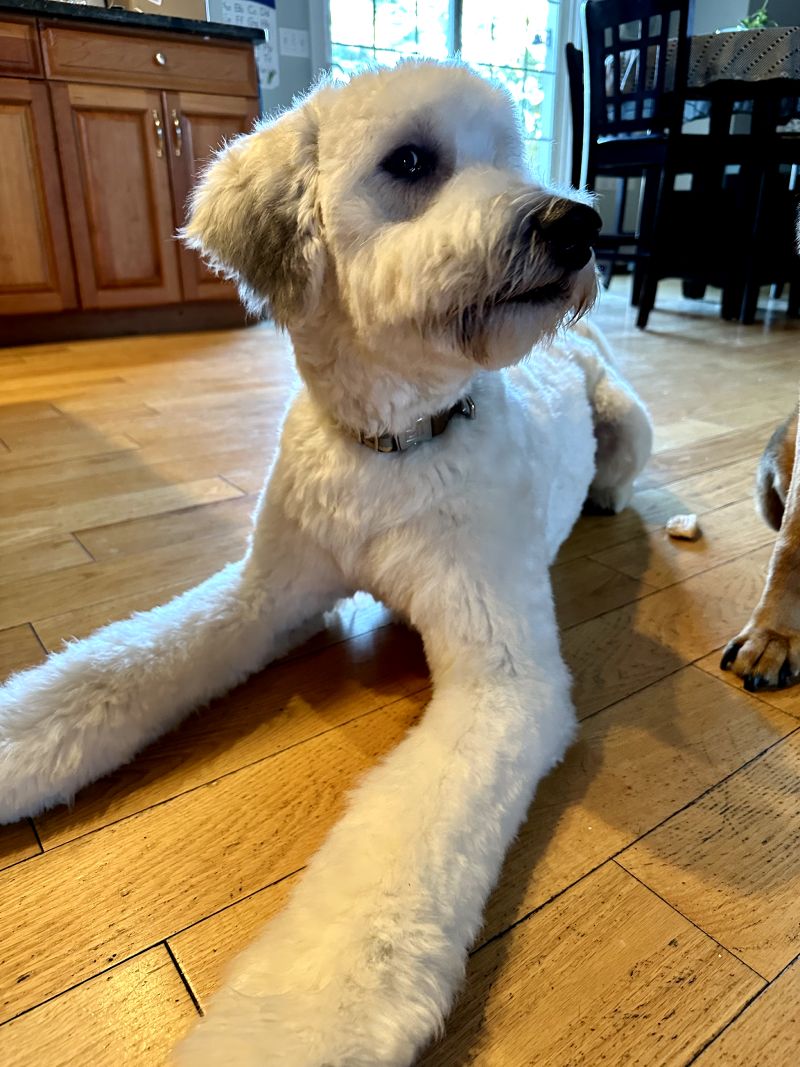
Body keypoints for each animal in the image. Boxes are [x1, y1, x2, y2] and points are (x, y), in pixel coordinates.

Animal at [0, 60, 652, 1067]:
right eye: (411, 161)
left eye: (510, 155)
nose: (576, 221)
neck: (390, 448)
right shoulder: (266, 594)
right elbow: (112, 673)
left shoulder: (505, 681)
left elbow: (387, 873)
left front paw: (289, 1026)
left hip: (630, 418)